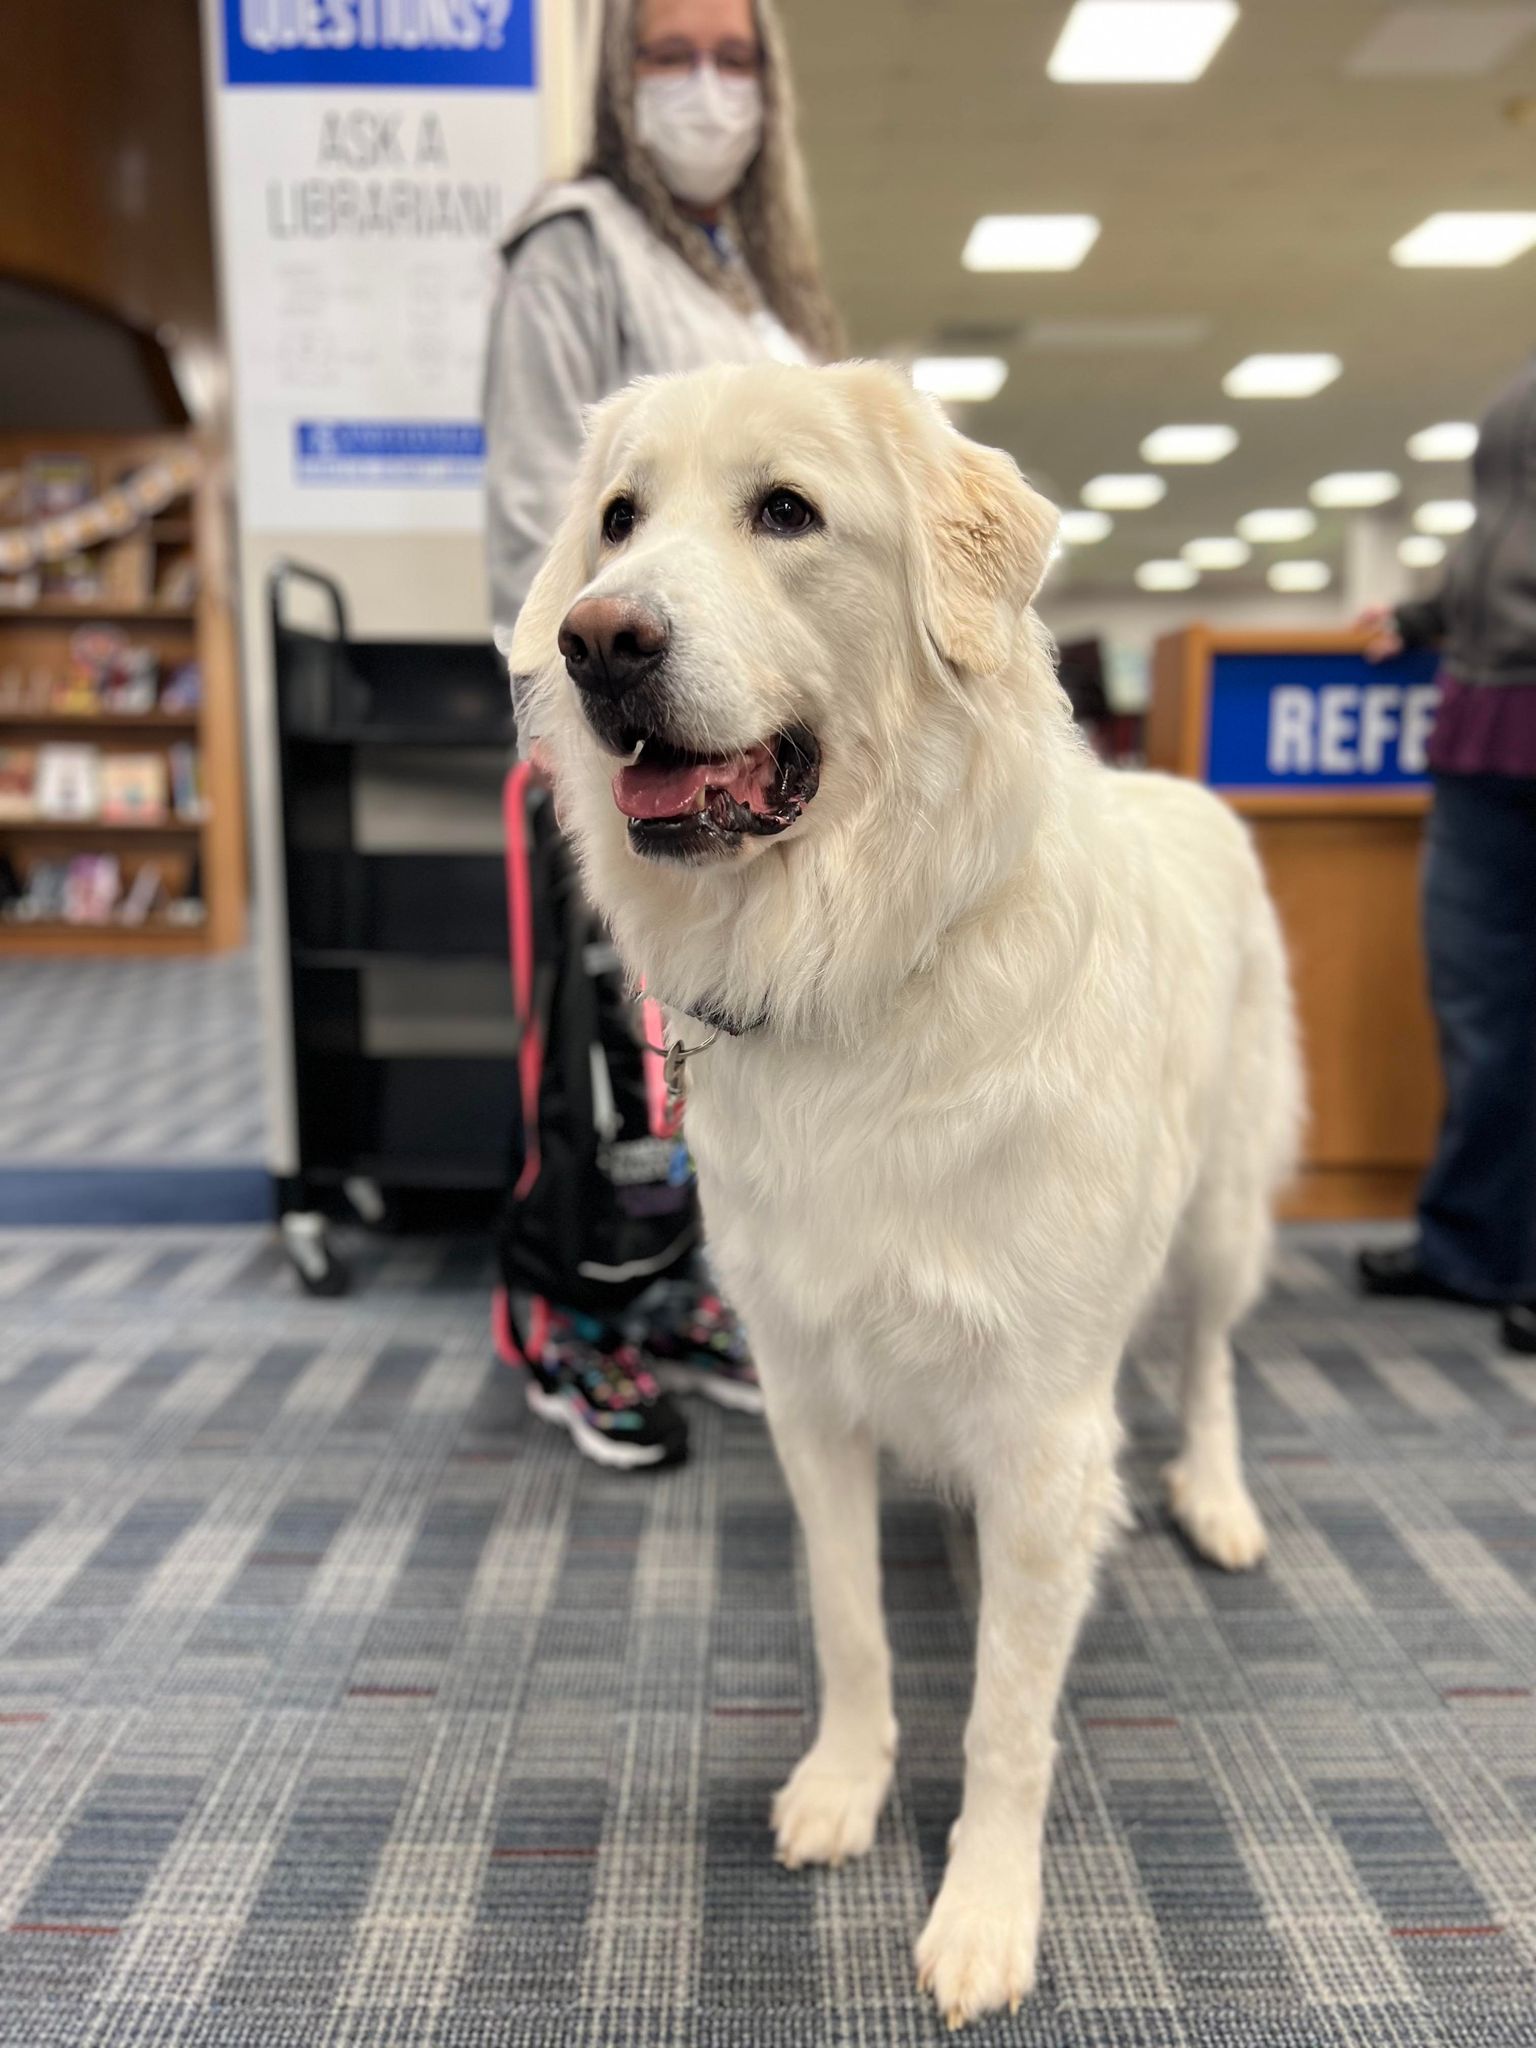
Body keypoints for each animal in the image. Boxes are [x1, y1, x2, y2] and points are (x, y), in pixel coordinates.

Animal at [512, 360, 1302, 2023]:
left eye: (786, 512)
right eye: (617, 521)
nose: (596, 638)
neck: (863, 964)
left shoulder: (1045, 1426)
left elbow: (1007, 1712)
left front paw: (984, 1916)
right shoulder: (811, 1391)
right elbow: (851, 1625)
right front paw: (842, 1787)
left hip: (1219, 1218)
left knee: (1206, 1359)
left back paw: (1215, 1497)